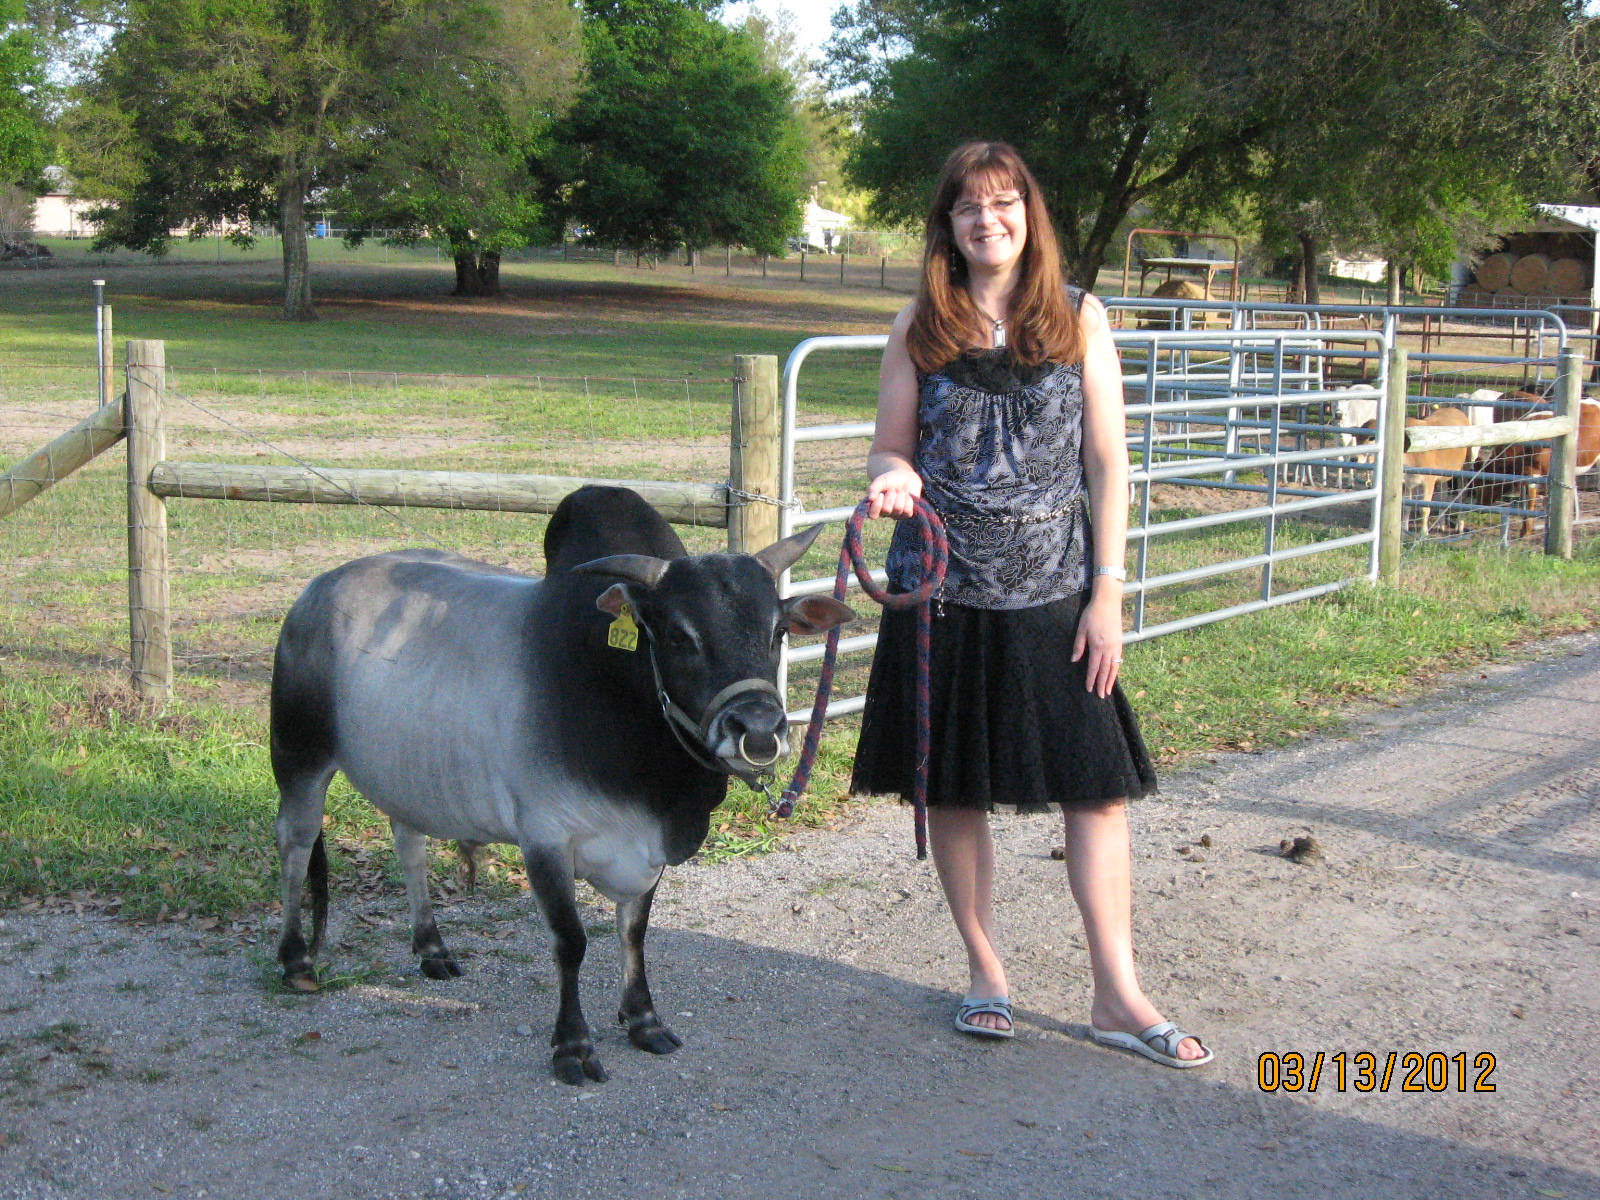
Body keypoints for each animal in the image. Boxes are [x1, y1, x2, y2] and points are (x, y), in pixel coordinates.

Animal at [268, 483, 857, 1088]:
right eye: (679, 636)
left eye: (777, 631)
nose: (759, 731)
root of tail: (315, 591)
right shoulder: (546, 839)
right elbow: (570, 941)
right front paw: (573, 1046)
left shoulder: (646, 849)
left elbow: (634, 932)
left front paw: (643, 1020)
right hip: (299, 756)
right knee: (295, 844)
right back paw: (296, 960)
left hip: (406, 773)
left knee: (409, 845)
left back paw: (431, 947)